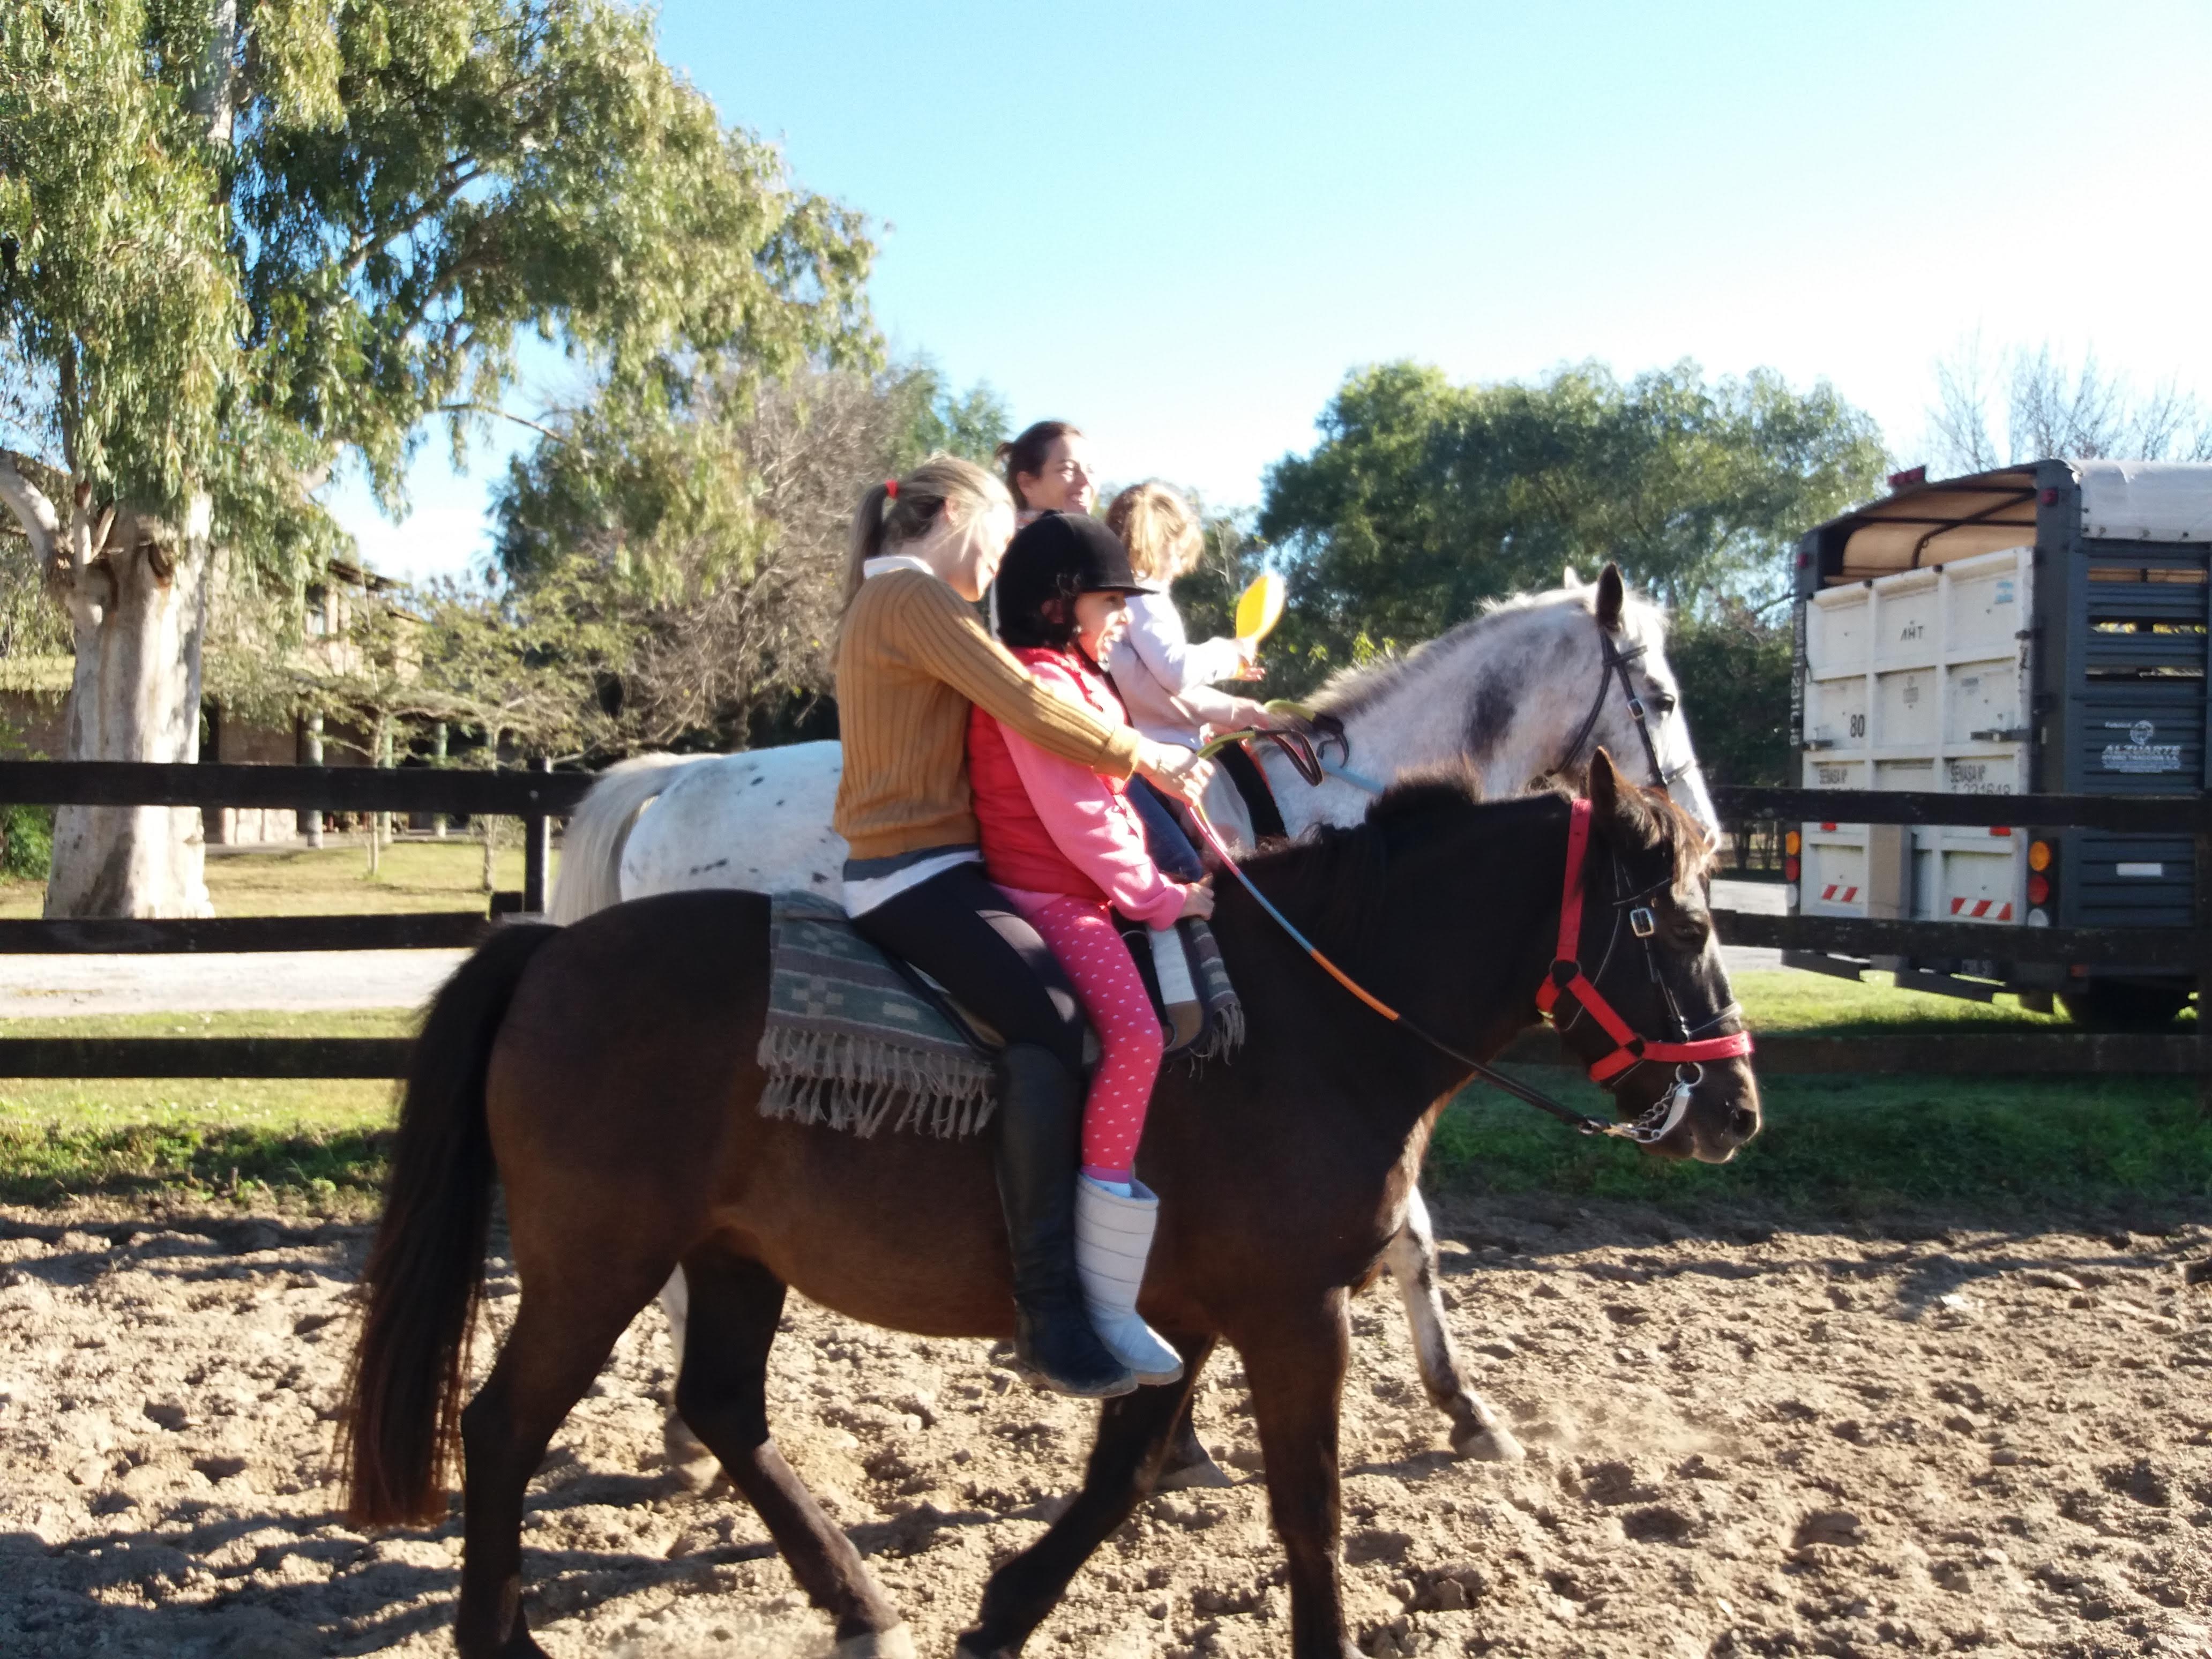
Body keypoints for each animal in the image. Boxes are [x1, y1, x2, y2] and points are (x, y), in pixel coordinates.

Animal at [345, 756, 1760, 1659]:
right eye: (1679, 924)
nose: (1736, 1112)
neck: (1304, 1026)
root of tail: (550, 948)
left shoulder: (1179, 1315)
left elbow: (1121, 1476)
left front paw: (1004, 1610)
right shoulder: (1293, 1315)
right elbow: (1307, 1511)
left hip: (736, 1254)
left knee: (724, 1409)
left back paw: (856, 1600)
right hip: (598, 1260)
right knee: (502, 1424)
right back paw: (507, 1639)